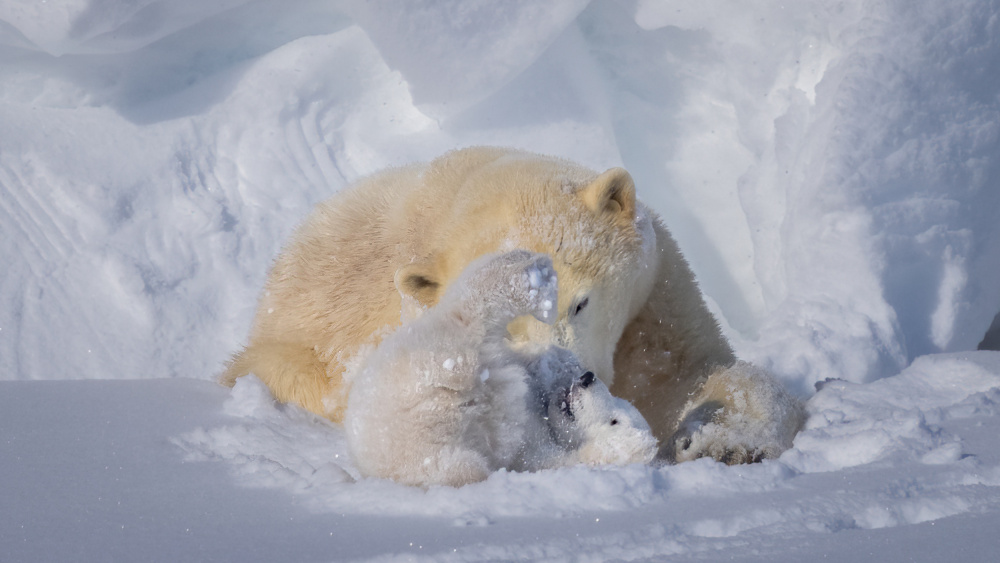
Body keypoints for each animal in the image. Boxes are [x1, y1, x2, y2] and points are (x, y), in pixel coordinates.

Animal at [227, 148, 804, 464]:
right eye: (506, 329)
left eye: (580, 303)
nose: (569, 377)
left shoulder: (654, 299)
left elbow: (688, 370)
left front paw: (725, 441)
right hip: (291, 353)